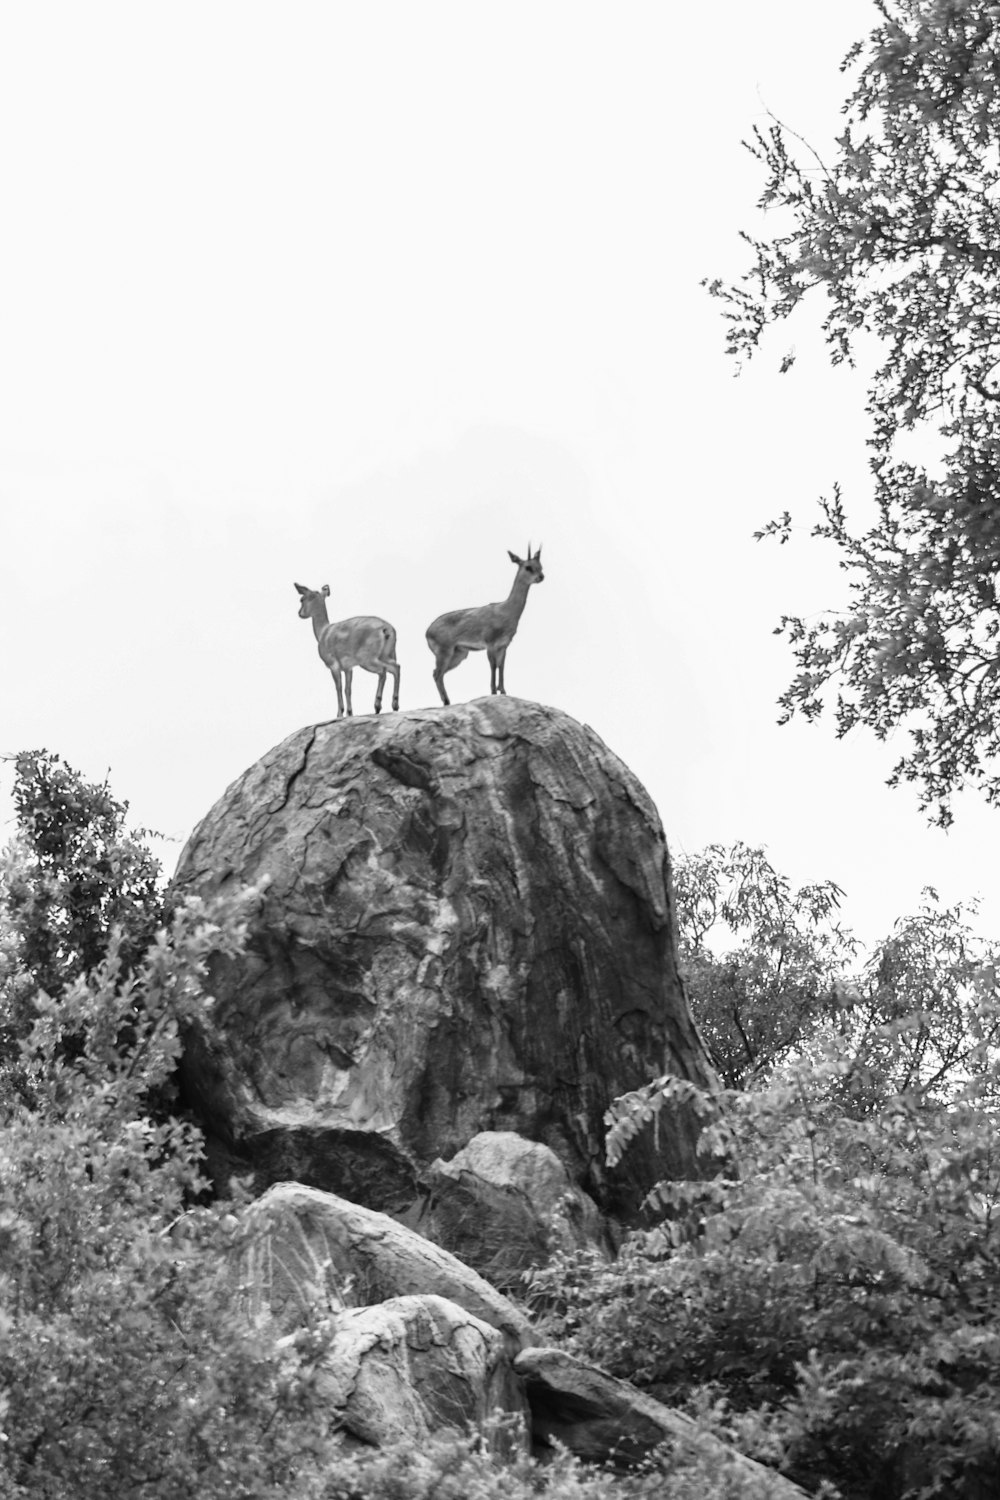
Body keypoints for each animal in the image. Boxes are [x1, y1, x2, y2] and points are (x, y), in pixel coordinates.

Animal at [295, 582, 401, 717]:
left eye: (302, 599)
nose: (300, 613)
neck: (324, 632)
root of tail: (386, 629)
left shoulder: (334, 666)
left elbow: (339, 687)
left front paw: (339, 713)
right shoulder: (348, 668)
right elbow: (348, 689)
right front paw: (350, 713)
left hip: (367, 660)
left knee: (383, 671)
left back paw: (377, 706)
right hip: (386, 656)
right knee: (396, 668)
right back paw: (394, 705)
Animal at [425, 543, 542, 705]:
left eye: (540, 566)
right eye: (528, 567)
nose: (541, 577)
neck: (506, 611)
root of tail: (427, 631)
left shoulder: (503, 646)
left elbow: (501, 666)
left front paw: (503, 691)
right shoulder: (490, 645)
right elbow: (493, 666)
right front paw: (493, 692)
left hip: (459, 654)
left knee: (438, 674)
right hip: (445, 653)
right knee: (436, 674)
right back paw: (447, 702)